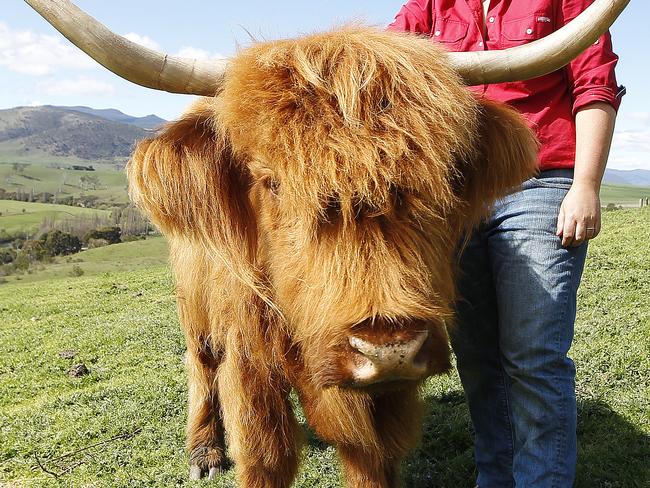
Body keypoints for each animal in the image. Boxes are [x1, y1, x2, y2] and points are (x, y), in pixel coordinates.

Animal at [25, 0, 628, 488]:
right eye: (270, 182)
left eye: (449, 174)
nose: (387, 346)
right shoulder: (249, 362)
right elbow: (265, 456)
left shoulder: (386, 396)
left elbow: (372, 457)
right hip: (193, 299)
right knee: (200, 362)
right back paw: (204, 452)